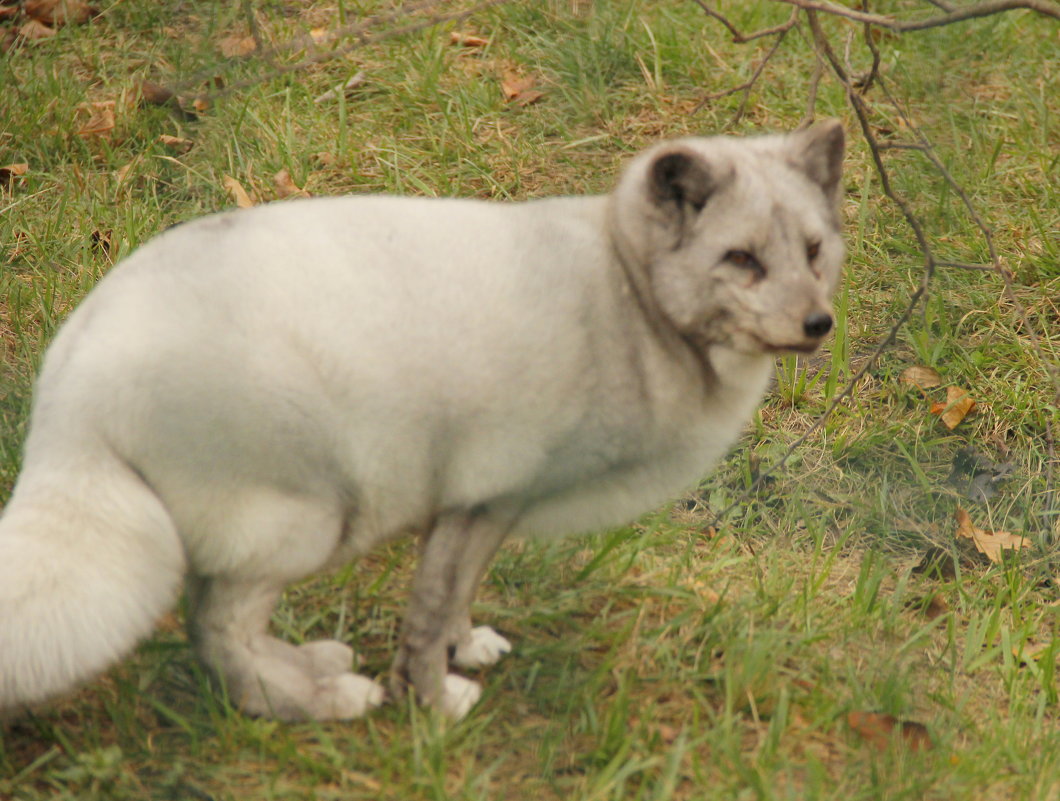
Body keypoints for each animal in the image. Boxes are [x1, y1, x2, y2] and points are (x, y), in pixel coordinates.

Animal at [0, 121, 843, 724]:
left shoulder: (480, 502)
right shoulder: (484, 491)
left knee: (216, 622)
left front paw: (465, 649)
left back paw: (313, 668)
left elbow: (456, 591)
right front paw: (433, 704)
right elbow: (430, 606)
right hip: (308, 518)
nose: (818, 324)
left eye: (813, 251)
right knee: (212, 628)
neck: (626, 295)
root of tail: (70, 382)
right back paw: (315, 702)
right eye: (742, 260)